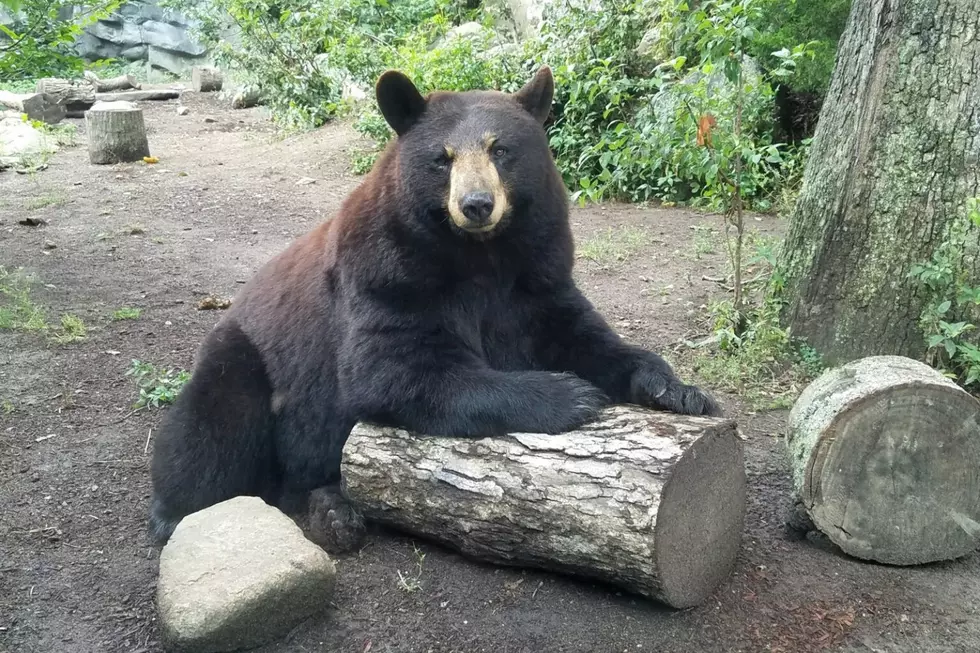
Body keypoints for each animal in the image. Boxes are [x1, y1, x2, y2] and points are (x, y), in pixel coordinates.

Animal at [151, 65, 720, 552]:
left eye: (500, 148)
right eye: (442, 157)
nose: (476, 204)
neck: (481, 254)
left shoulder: (538, 273)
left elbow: (580, 334)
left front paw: (678, 390)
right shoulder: (387, 275)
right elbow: (397, 366)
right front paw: (569, 394)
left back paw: (333, 511)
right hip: (244, 358)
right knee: (209, 435)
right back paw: (177, 514)